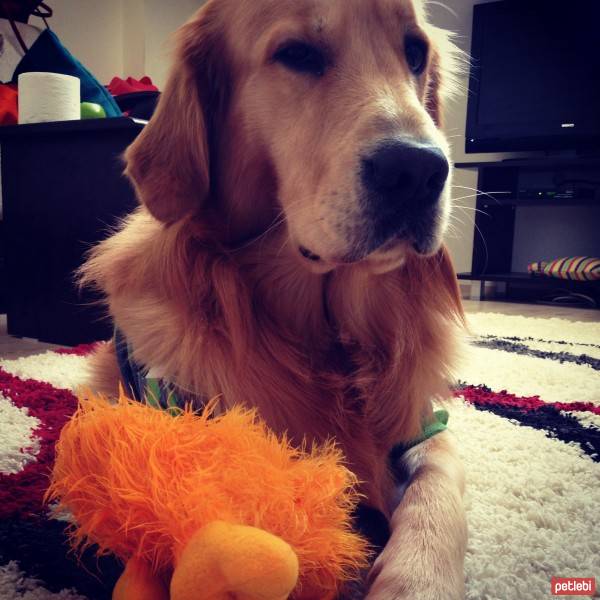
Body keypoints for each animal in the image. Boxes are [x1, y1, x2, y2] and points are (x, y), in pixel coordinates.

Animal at [83, 1, 468, 596]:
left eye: (414, 52)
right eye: (297, 54)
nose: (420, 170)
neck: (326, 334)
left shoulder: (427, 423)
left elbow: (438, 483)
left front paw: (418, 579)